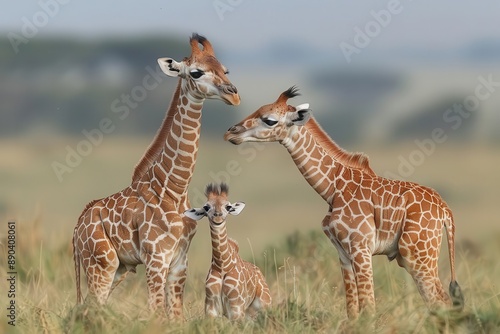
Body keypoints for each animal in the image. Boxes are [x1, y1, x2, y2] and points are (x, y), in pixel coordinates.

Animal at [72, 33, 240, 318]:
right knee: (92, 306)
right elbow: (156, 311)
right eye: (196, 72)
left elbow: (175, 315)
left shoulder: (179, 260)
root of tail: (77, 227)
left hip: (118, 268)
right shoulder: (156, 259)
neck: (174, 187)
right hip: (100, 264)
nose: (234, 95)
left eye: (224, 70)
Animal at [185, 184, 272, 320]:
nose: (218, 216)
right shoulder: (211, 306)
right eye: (206, 207)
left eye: (228, 206)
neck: (222, 264)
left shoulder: (236, 307)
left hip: (264, 305)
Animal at [225, 86, 462, 318]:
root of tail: (445, 210)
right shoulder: (343, 253)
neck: (333, 187)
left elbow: (368, 307)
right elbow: (352, 310)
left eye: (269, 120)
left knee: (440, 301)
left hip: (417, 256)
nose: (230, 132)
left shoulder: (361, 248)